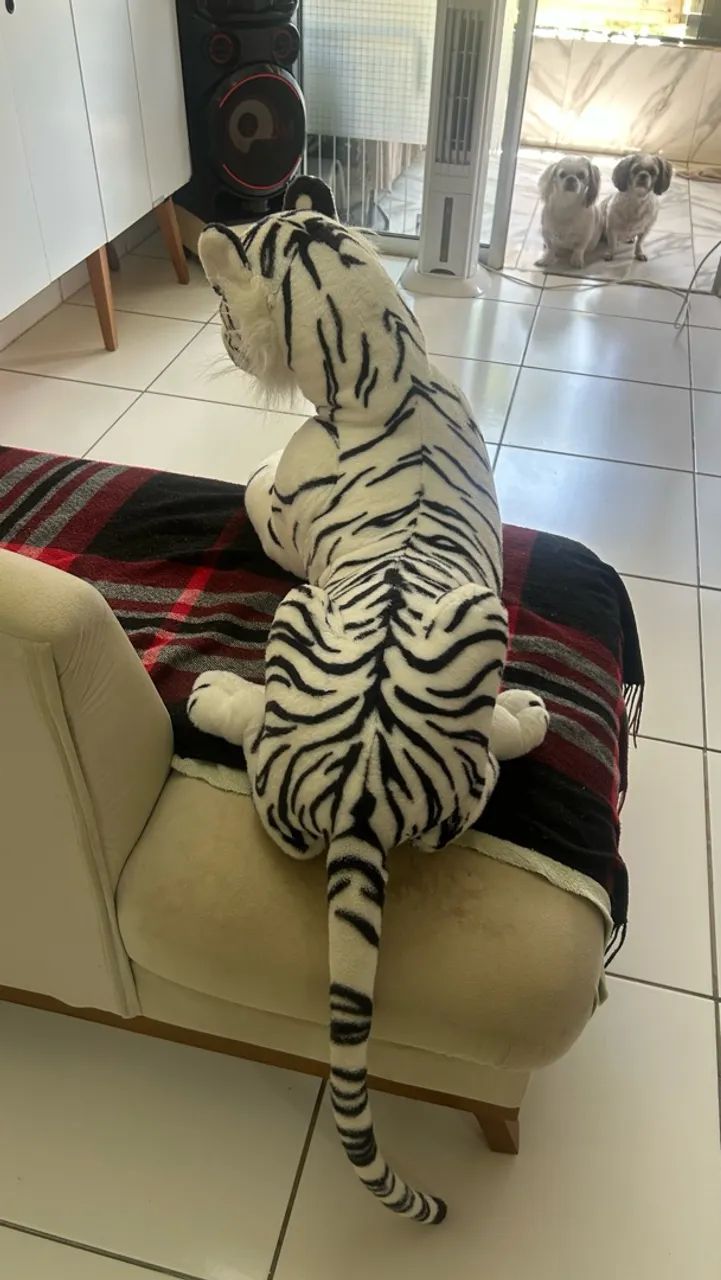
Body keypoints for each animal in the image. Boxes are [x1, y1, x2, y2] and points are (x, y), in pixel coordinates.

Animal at [187, 175, 549, 1224]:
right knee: (488, 762)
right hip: (477, 625)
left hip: (298, 615)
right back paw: (528, 714)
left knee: (249, 723)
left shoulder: (283, 526)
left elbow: (256, 492)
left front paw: (247, 470)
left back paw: (212, 690)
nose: (224, 343)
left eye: (223, 305)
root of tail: (361, 793)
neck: (393, 368)